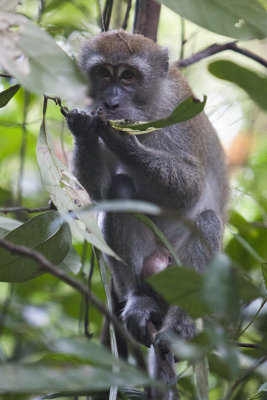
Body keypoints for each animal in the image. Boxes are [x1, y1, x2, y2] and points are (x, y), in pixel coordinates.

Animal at [66, 28, 228, 362]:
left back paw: (180, 327)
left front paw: (122, 138)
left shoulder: (179, 109)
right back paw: (141, 298)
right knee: (119, 190)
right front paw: (84, 128)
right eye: (103, 73)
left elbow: (190, 187)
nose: (112, 103)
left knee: (207, 221)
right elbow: (99, 194)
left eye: (128, 76)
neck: (149, 108)